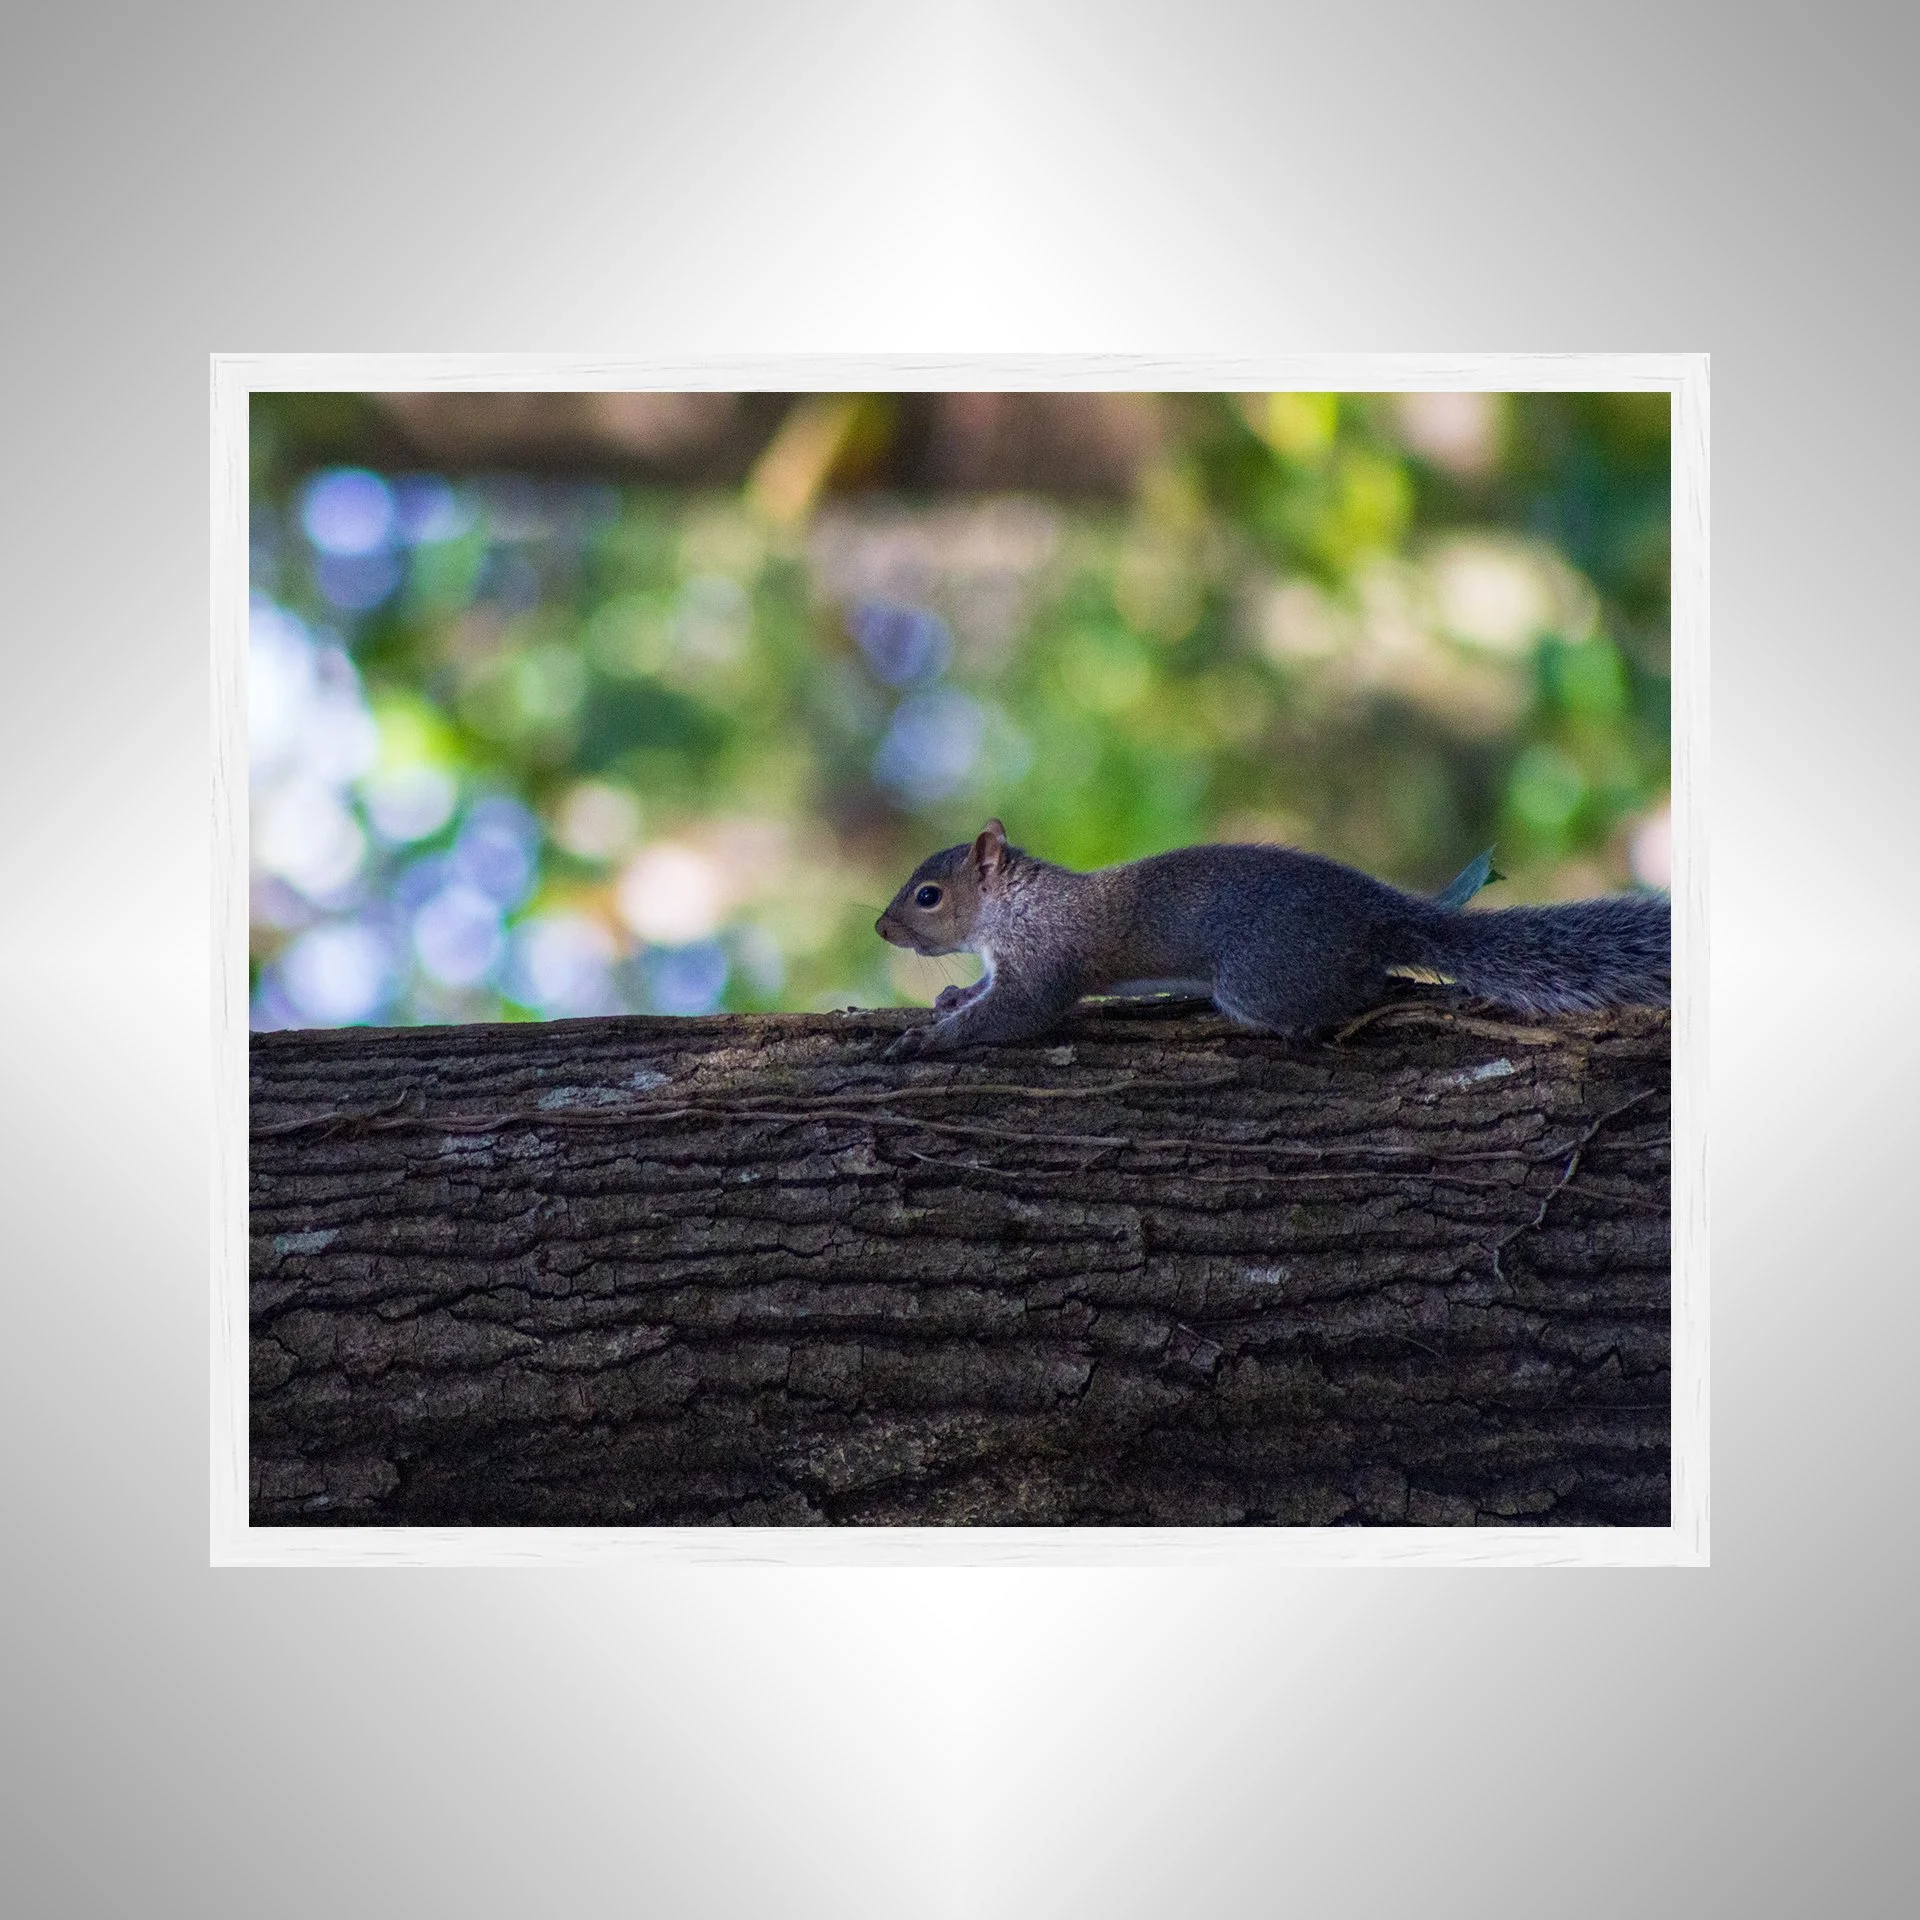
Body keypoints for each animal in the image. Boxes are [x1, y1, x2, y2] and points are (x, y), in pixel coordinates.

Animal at [876, 819, 1668, 1059]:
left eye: (928, 895)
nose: (881, 927)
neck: (1011, 909)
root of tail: (1380, 913)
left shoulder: (1044, 958)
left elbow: (1021, 1011)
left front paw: (930, 1039)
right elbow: (986, 990)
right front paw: (952, 997)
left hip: (1259, 980)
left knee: (1366, 987)